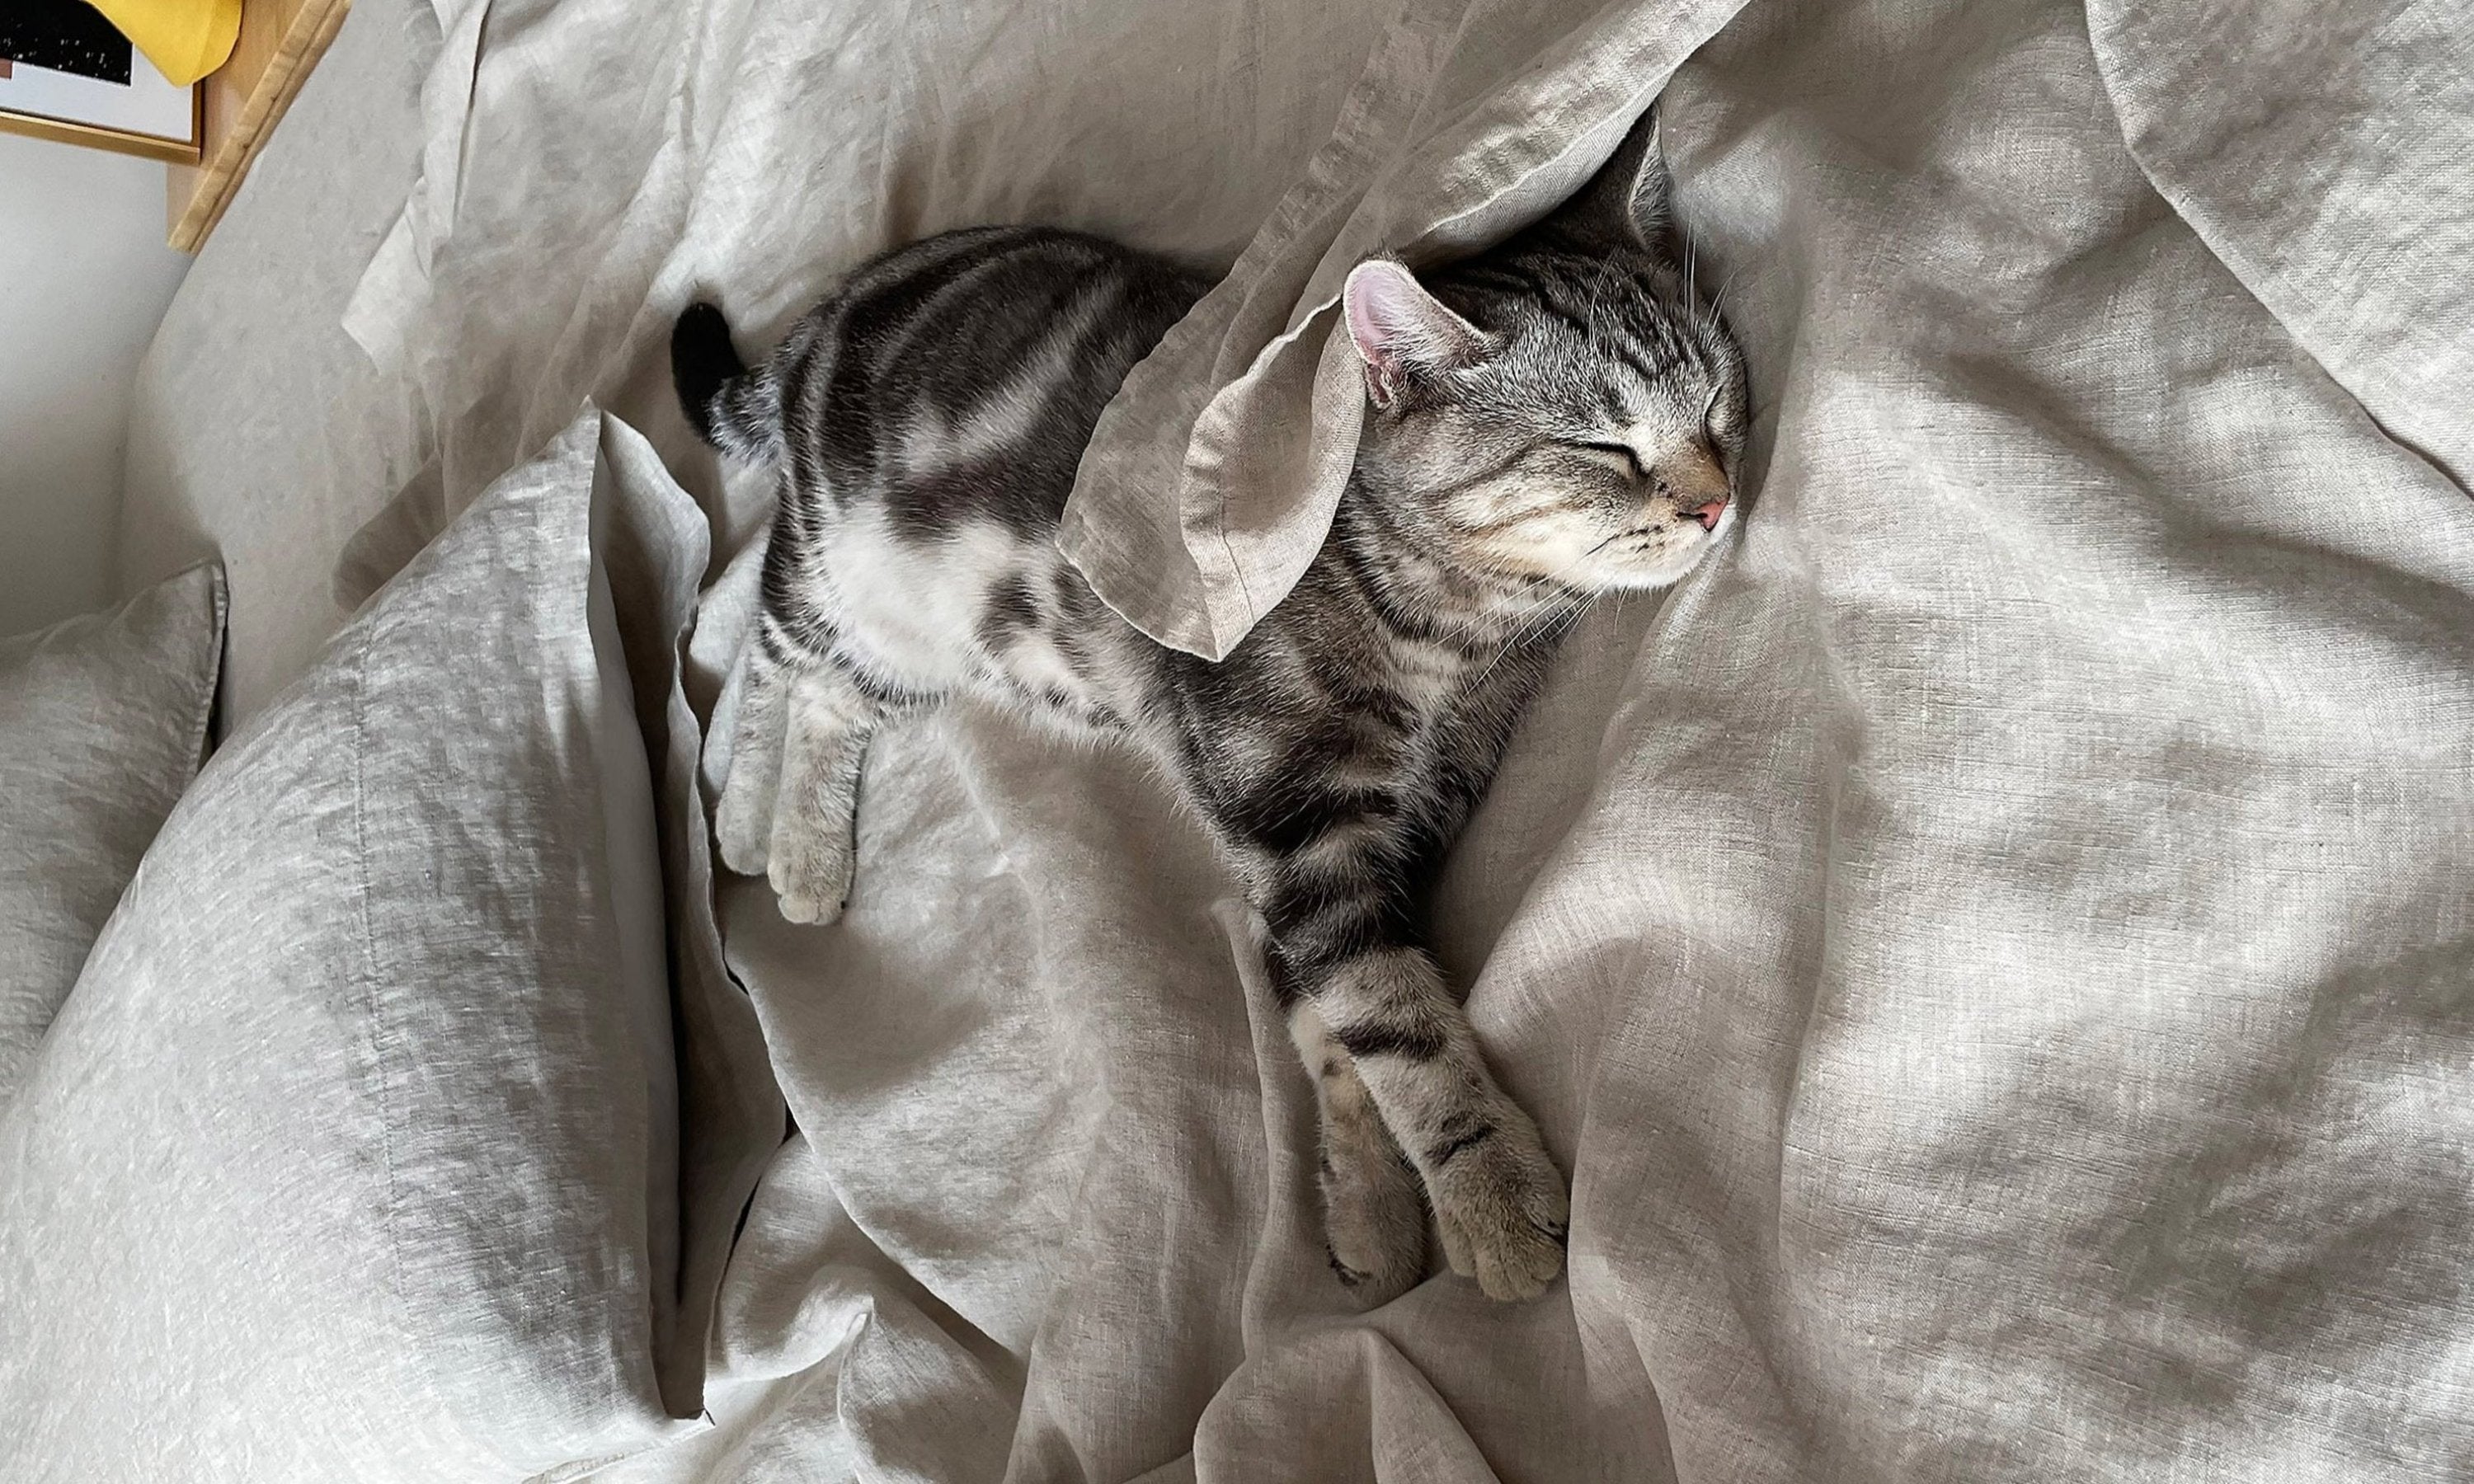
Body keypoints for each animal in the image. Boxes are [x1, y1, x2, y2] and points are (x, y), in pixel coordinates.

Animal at [678, 113, 1752, 1296]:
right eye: (1604, 446)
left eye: (1717, 402)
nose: (1718, 503)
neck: (1447, 626)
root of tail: (829, 313)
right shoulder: (1293, 816)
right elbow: (1397, 1021)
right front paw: (1490, 1194)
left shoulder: (1378, 831)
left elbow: (1339, 1023)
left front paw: (1370, 1207)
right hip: (847, 569)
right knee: (779, 648)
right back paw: (767, 828)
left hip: (927, 645)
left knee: (828, 688)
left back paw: (780, 834)